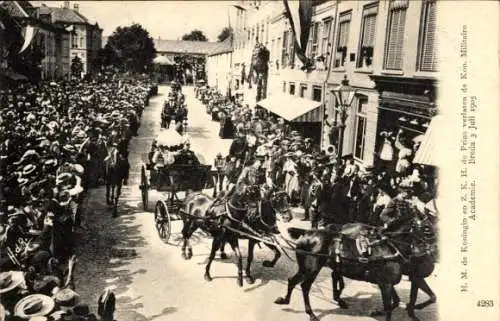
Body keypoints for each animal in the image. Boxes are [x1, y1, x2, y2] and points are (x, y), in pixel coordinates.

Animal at [276, 215, 436, 320]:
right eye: (427, 228)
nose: (432, 253)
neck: (389, 247)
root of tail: (307, 233)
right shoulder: (385, 283)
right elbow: (389, 308)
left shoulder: (387, 282)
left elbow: (394, 303)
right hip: (312, 269)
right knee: (304, 286)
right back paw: (311, 313)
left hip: (305, 268)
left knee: (292, 280)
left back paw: (285, 300)